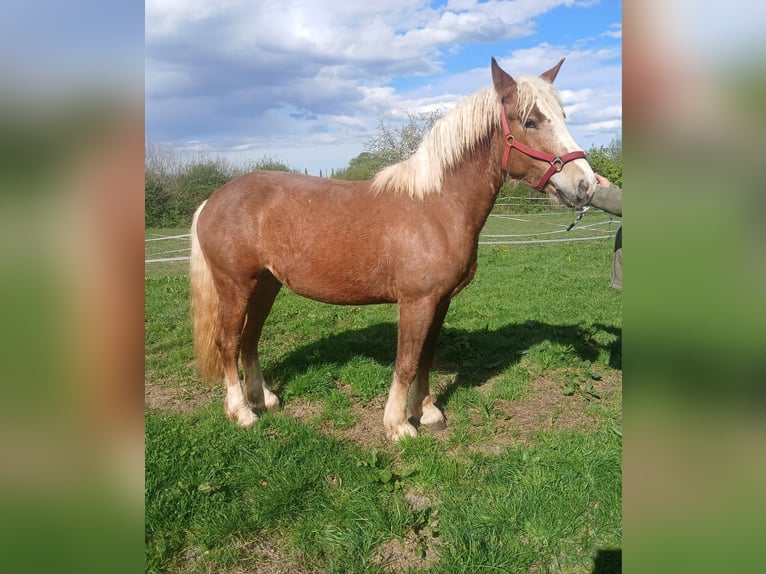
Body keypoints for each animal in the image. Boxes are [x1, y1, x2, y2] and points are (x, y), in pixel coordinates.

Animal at [189, 58, 596, 441]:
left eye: (563, 116)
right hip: (236, 285)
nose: (586, 185)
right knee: (228, 342)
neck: (436, 205)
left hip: (266, 284)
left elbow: (427, 357)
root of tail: (212, 201)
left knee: (249, 340)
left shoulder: (440, 300)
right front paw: (398, 426)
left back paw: (264, 399)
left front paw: (427, 412)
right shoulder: (416, 302)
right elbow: (407, 361)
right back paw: (242, 412)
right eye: (530, 121)